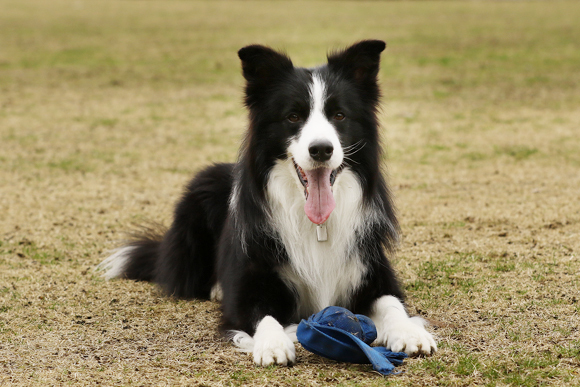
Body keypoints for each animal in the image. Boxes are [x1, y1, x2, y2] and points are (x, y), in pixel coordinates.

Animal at [99, 41, 436, 368]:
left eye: (339, 115)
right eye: (293, 116)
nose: (321, 149)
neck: (317, 225)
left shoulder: (372, 270)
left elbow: (392, 303)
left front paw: (410, 333)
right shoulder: (249, 283)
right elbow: (263, 314)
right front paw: (274, 344)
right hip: (201, 192)